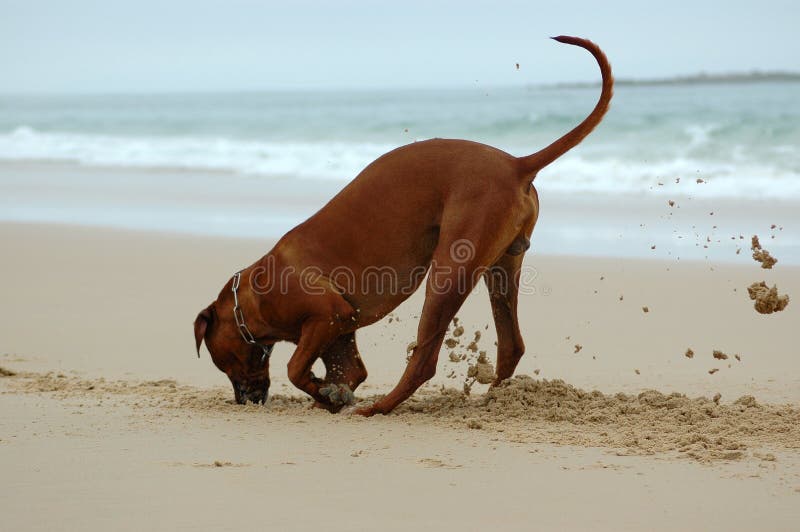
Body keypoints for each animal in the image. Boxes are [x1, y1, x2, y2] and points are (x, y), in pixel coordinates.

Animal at [194, 36, 612, 416]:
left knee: (424, 360)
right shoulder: (339, 325)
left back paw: (379, 408)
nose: (245, 401)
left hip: (449, 273)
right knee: (511, 345)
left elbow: (296, 368)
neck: (254, 292)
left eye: (224, 363)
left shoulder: (326, 314)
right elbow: (348, 371)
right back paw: (495, 399)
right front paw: (330, 396)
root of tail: (515, 164)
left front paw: (326, 394)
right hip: (502, 267)